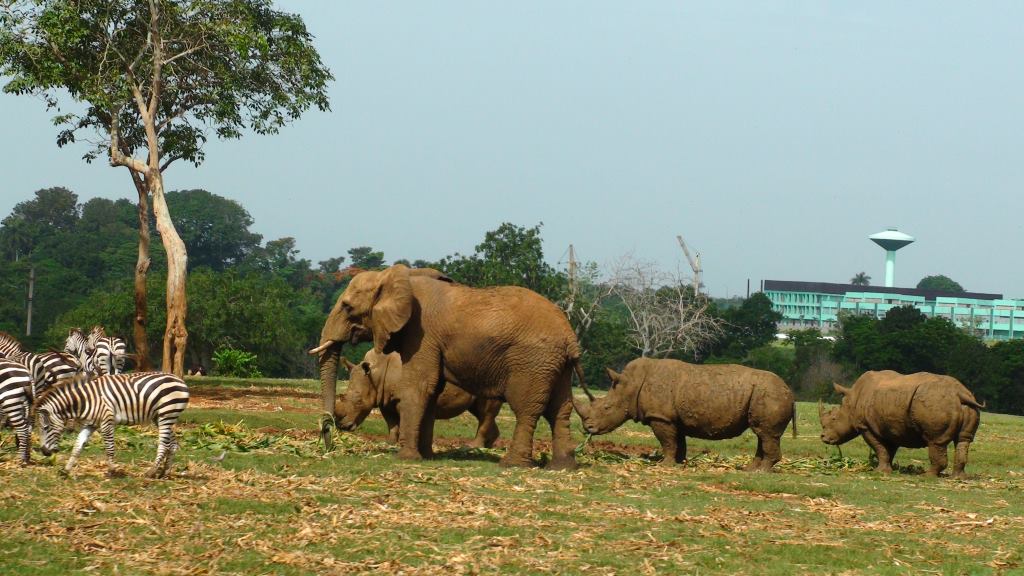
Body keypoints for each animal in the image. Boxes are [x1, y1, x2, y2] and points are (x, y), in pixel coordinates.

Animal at [335, 349, 503, 448]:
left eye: (359, 401)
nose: (343, 427)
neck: (376, 373)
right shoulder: (385, 398)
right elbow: (391, 422)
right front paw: (389, 442)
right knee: (480, 412)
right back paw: (487, 446)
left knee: (485, 412)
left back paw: (474, 446)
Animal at [573, 357, 796, 471]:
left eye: (606, 408)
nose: (587, 428)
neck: (630, 384)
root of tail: (791, 392)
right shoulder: (672, 418)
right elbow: (678, 442)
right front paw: (678, 463)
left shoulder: (660, 417)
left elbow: (667, 442)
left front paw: (664, 465)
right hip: (766, 395)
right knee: (762, 434)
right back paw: (751, 469)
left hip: (770, 395)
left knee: (766, 434)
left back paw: (760, 472)